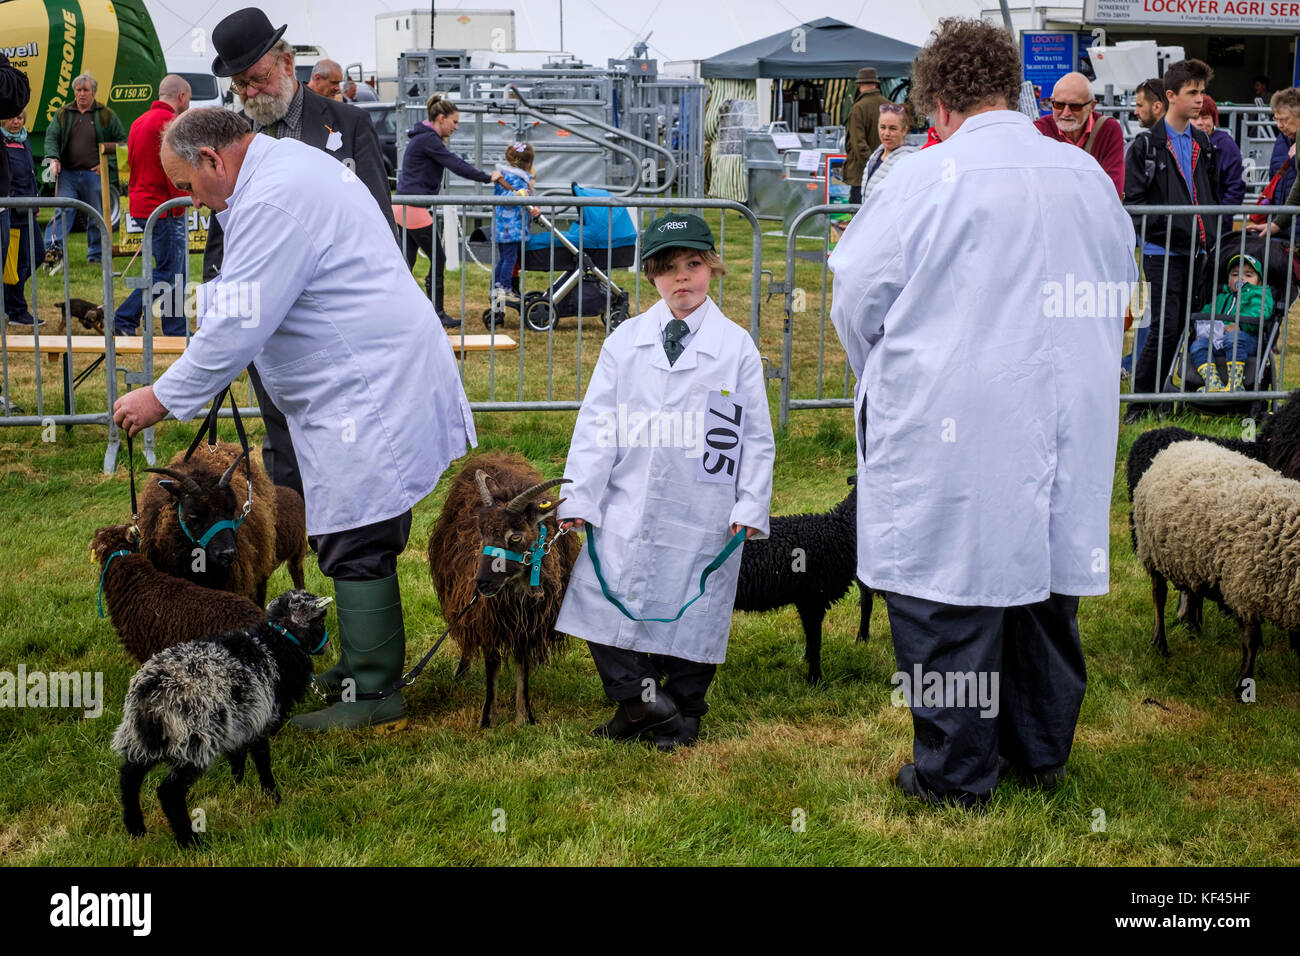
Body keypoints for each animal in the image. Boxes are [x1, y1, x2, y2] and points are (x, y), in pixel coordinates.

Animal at [426, 452, 579, 728]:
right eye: (481, 532)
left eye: (515, 537)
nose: (482, 584)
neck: (517, 588)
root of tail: (493, 454)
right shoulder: (489, 619)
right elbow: (492, 665)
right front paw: (488, 717)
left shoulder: (528, 623)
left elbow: (522, 664)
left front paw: (524, 716)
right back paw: (462, 670)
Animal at [733, 476, 873, 686]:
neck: (838, 531)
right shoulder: (812, 598)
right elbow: (815, 641)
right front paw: (816, 681)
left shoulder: (806, 599)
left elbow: (811, 637)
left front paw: (807, 663)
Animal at [1128, 442, 1300, 702]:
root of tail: (1179, 445)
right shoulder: (1244, 591)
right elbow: (1251, 642)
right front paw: (1243, 686)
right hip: (1152, 551)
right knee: (1159, 596)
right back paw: (1159, 642)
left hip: (1191, 557)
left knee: (1192, 590)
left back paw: (1193, 625)